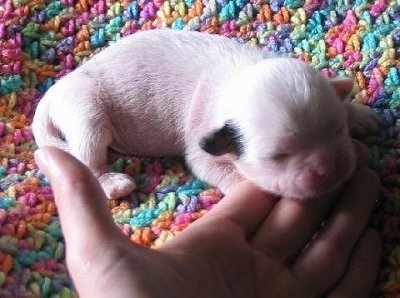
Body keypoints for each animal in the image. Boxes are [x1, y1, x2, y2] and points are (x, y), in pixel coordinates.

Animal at [31, 29, 378, 200]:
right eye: (278, 157)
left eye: (337, 130)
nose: (328, 167)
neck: (237, 80)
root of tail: (54, 92)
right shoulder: (201, 142)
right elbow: (214, 169)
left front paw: (358, 113)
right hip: (84, 108)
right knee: (87, 153)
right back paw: (111, 182)